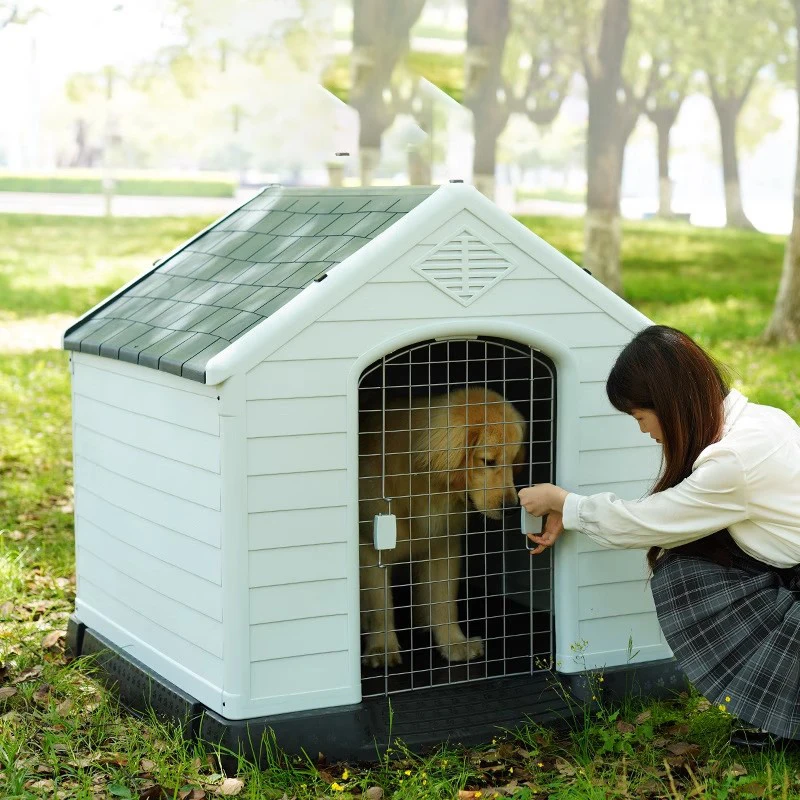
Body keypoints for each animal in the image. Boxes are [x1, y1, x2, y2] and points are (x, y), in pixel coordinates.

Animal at [358, 388, 524, 668]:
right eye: (488, 461)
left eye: (513, 461)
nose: (513, 508)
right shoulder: (370, 548)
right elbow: (380, 604)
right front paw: (382, 648)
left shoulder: (444, 543)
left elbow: (444, 601)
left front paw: (454, 643)